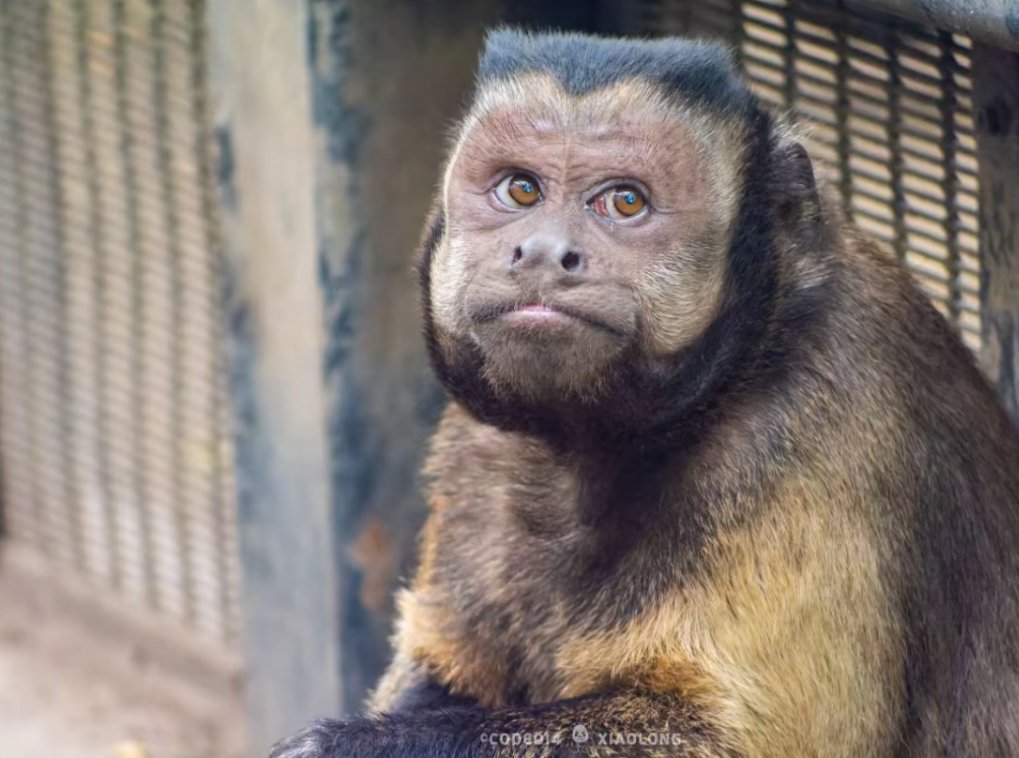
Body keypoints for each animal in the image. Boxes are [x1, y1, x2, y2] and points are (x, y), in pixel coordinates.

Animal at [270, 29, 1019, 757]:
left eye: (623, 201)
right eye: (520, 191)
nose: (543, 252)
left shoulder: (815, 421)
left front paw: (338, 747)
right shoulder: (474, 450)